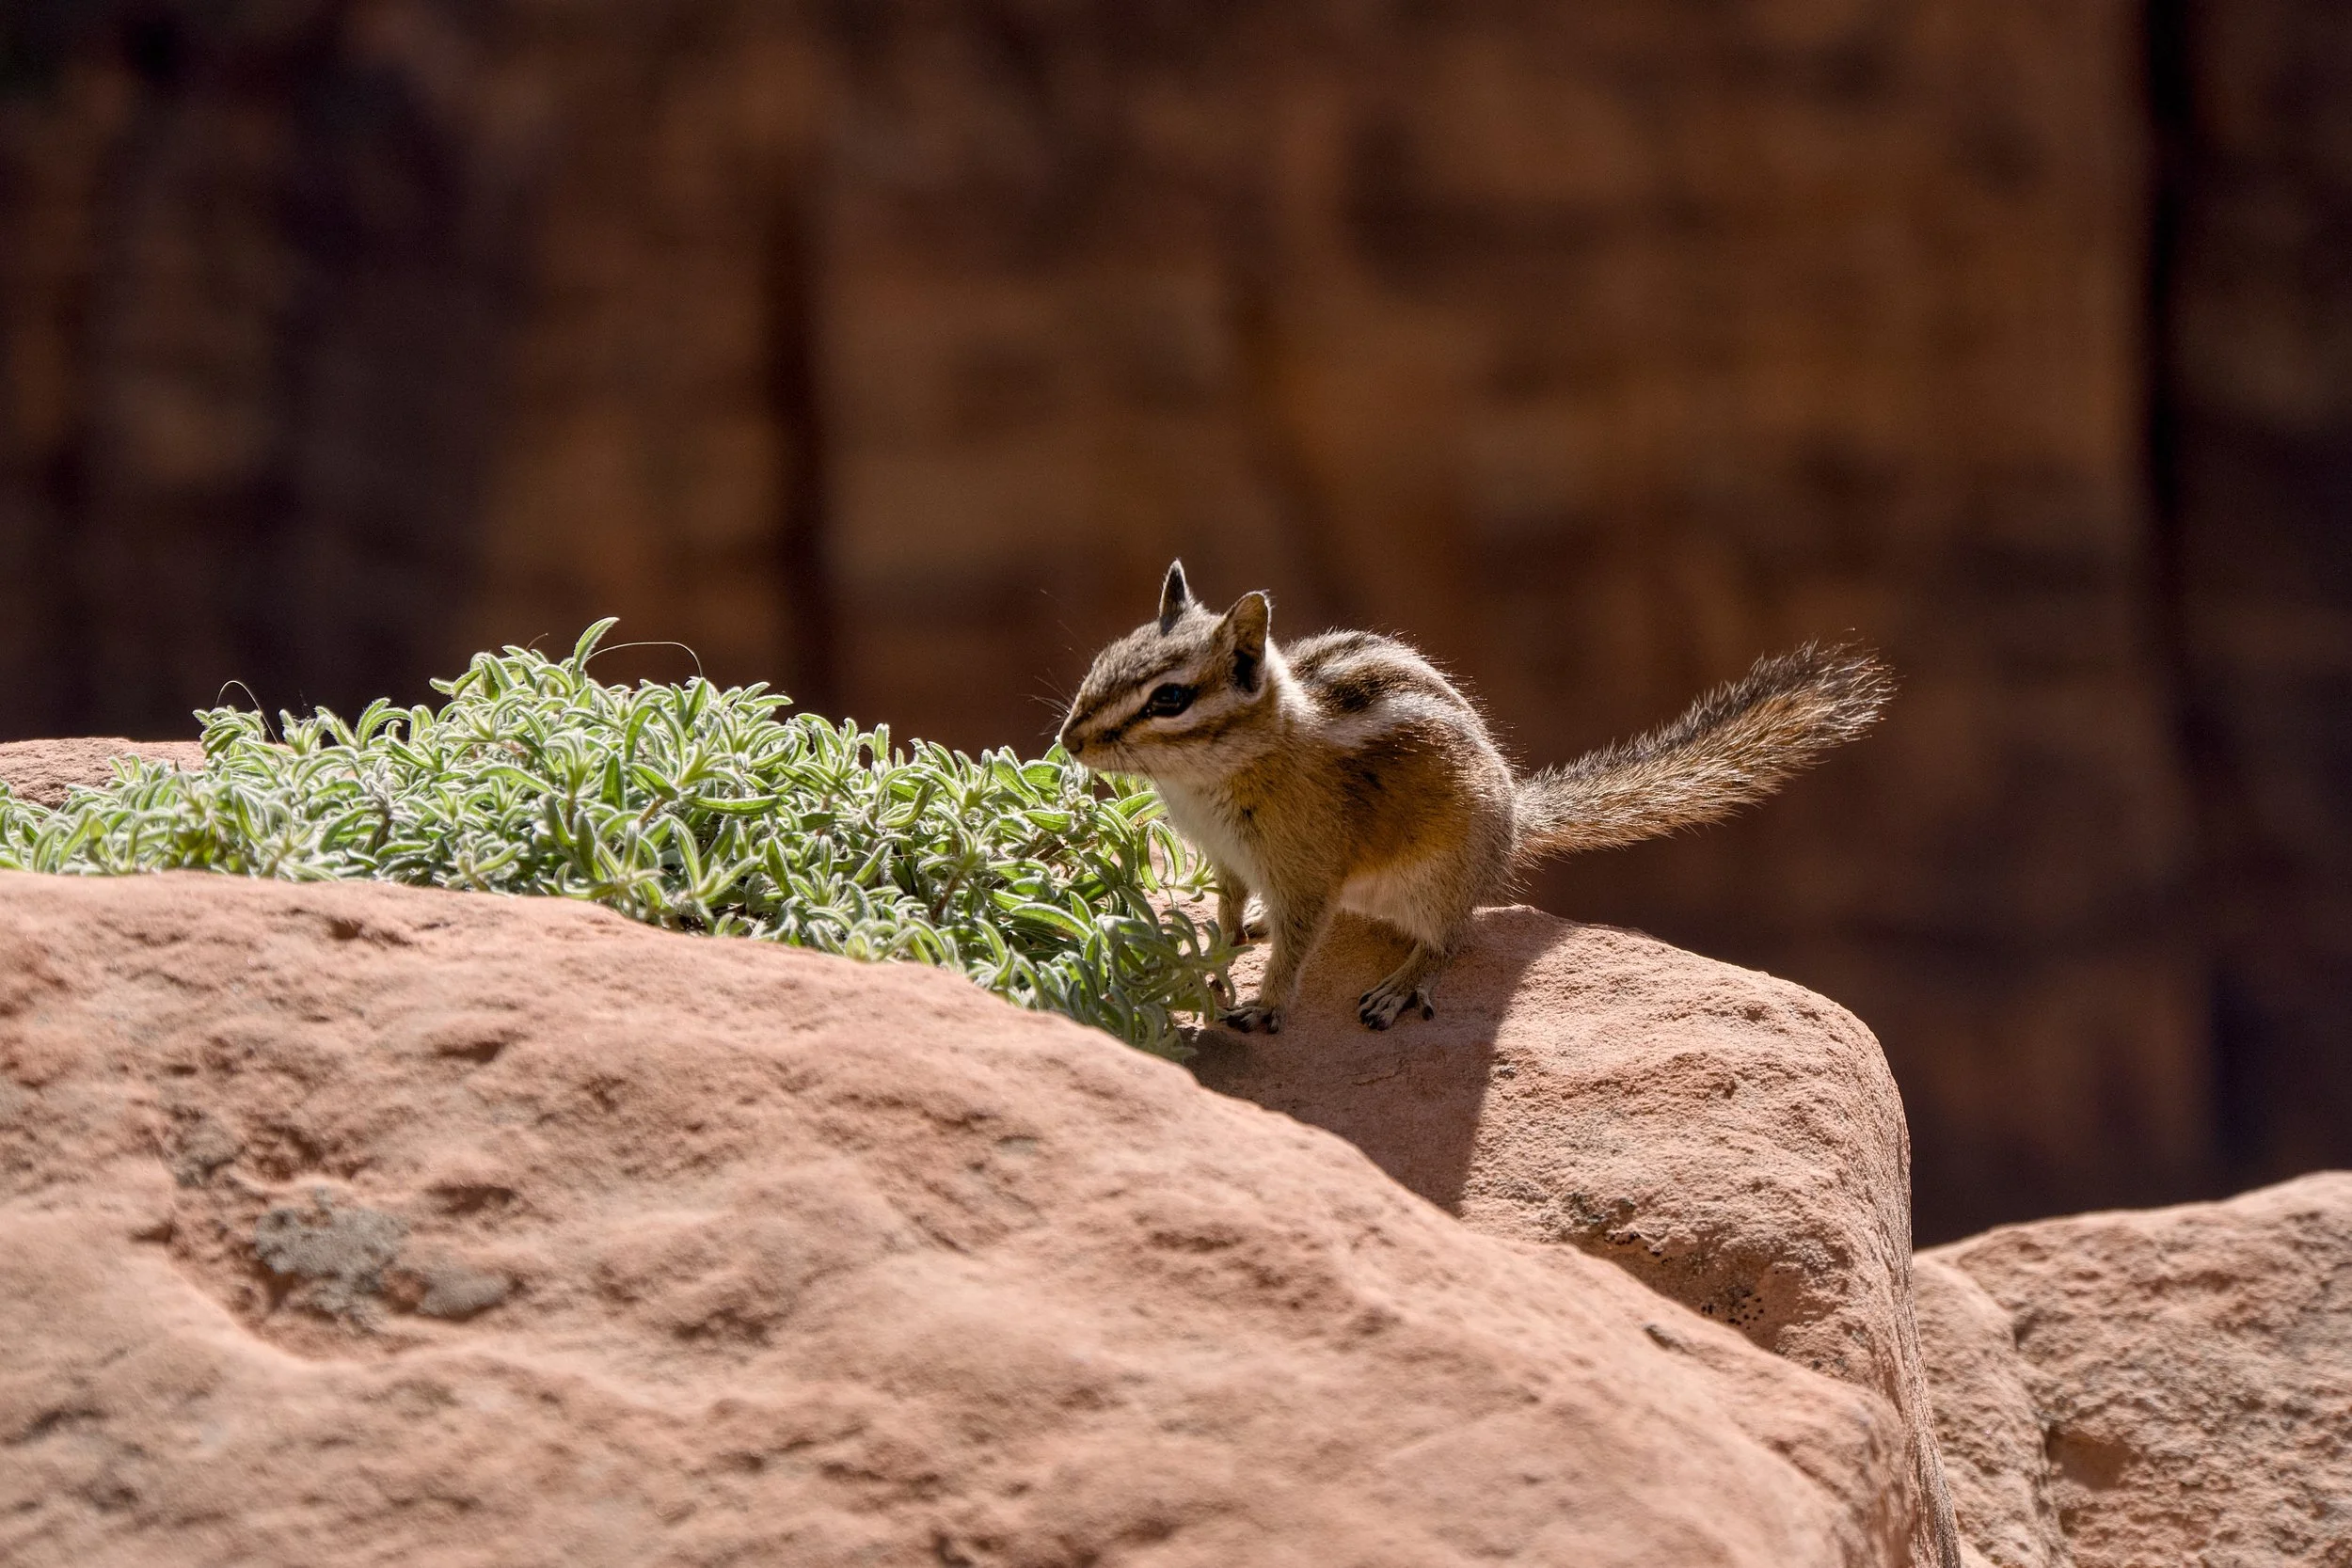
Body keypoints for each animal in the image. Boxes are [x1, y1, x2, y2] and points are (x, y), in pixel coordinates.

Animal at [1057, 561, 1892, 1035]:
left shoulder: (1306, 869)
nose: (1070, 740)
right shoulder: (1228, 860)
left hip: (1439, 877)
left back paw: (1399, 987)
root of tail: (1515, 819)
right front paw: (1221, 951)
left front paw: (1265, 1003)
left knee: (1449, 939)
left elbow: (1299, 942)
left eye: (1169, 698)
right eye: (1103, 656)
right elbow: (1230, 907)